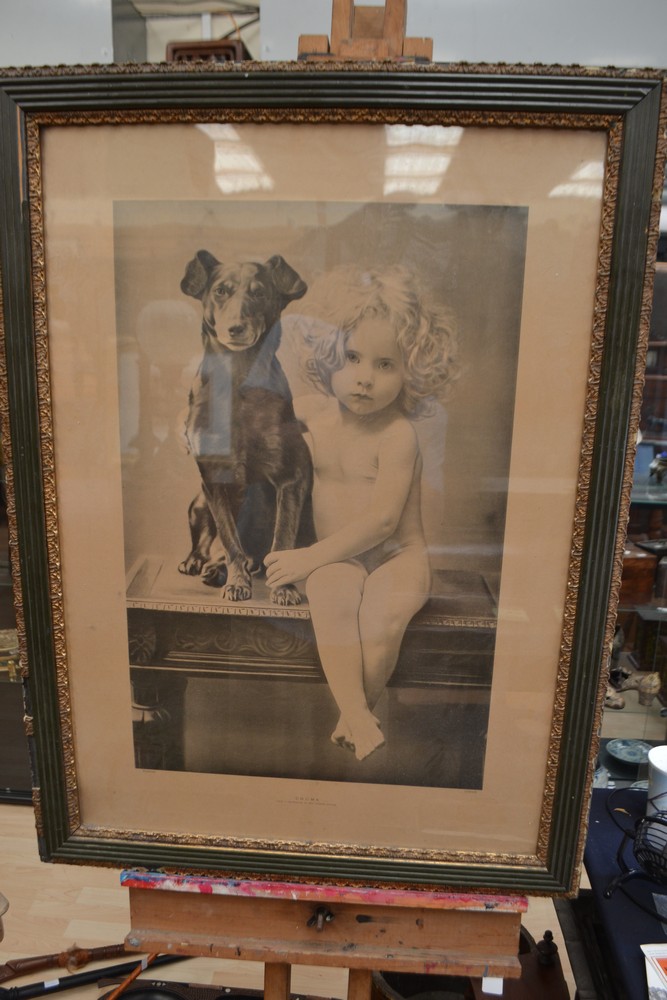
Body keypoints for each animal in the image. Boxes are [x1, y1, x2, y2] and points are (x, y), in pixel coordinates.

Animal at [177, 252, 314, 608]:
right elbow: (229, 541)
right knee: (211, 544)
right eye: (220, 291)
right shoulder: (214, 481)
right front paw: (236, 582)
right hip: (198, 503)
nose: (235, 328)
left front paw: (284, 588)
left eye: (260, 293)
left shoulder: (291, 478)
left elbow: (282, 540)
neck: (238, 381)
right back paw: (203, 564)